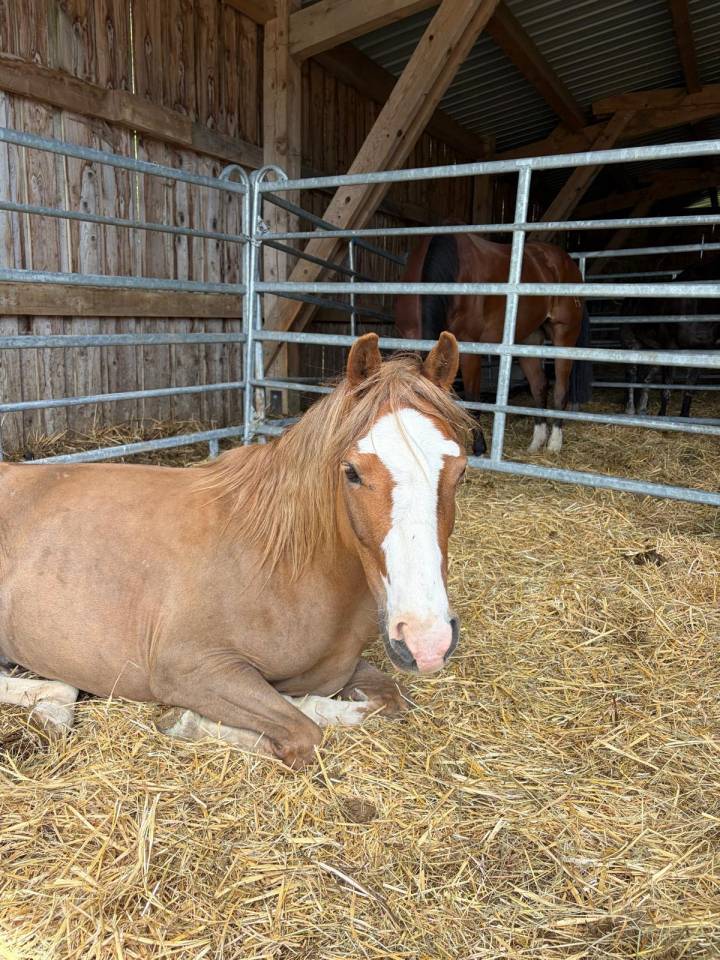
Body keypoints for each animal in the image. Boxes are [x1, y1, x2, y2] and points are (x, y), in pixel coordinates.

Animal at [0, 333, 473, 769]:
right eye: (352, 472)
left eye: (461, 470)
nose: (426, 640)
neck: (282, 564)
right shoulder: (190, 668)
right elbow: (304, 733)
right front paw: (185, 720)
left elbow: (389, 699)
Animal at [395, 232, 592, 456]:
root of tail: (567, 263)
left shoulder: (469, 350)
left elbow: (472, 400)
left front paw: (479, 447)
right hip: (529, 339)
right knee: (539, 385)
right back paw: (537, 442)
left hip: (564, 335)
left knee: (560, 388)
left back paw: (554, 443)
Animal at [620, 254, 720, 418]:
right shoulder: (671, 347)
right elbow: (666, 388)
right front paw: (662, 416)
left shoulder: (702, 352)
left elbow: (689, 389)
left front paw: (684, 417)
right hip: (631, 343)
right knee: (631, 374)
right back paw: (630, 409)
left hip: (655, 351)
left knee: (647, 378)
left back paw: (642, 410)